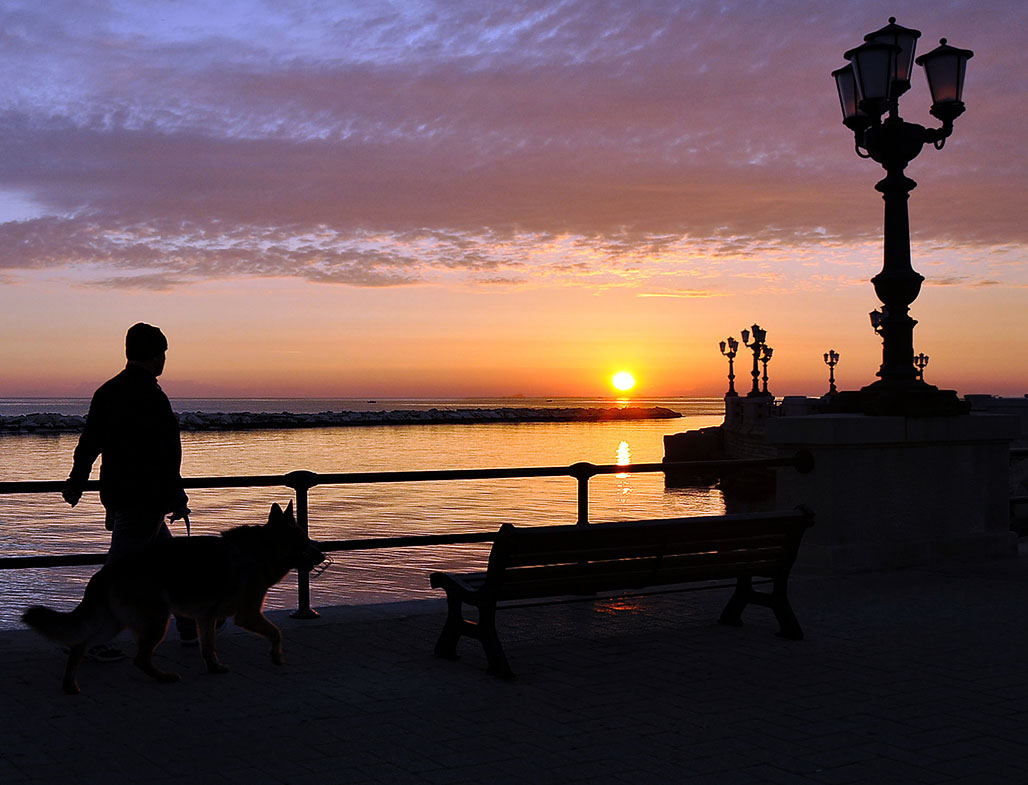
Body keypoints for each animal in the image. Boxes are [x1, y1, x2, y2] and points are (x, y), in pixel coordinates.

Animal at [23, 503, 324, 694]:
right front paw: (276, 656)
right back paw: (163, 677)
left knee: (80, 646)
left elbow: (208, 647)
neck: (263, 549)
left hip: (116, 623)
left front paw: (214, 667)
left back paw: (70, 685)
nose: (321, 554)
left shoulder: (207, 617)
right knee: (139, 659)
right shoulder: (247, 614)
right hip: (156, 621)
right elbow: (276, 632)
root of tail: (107, 570)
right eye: (302, 540)